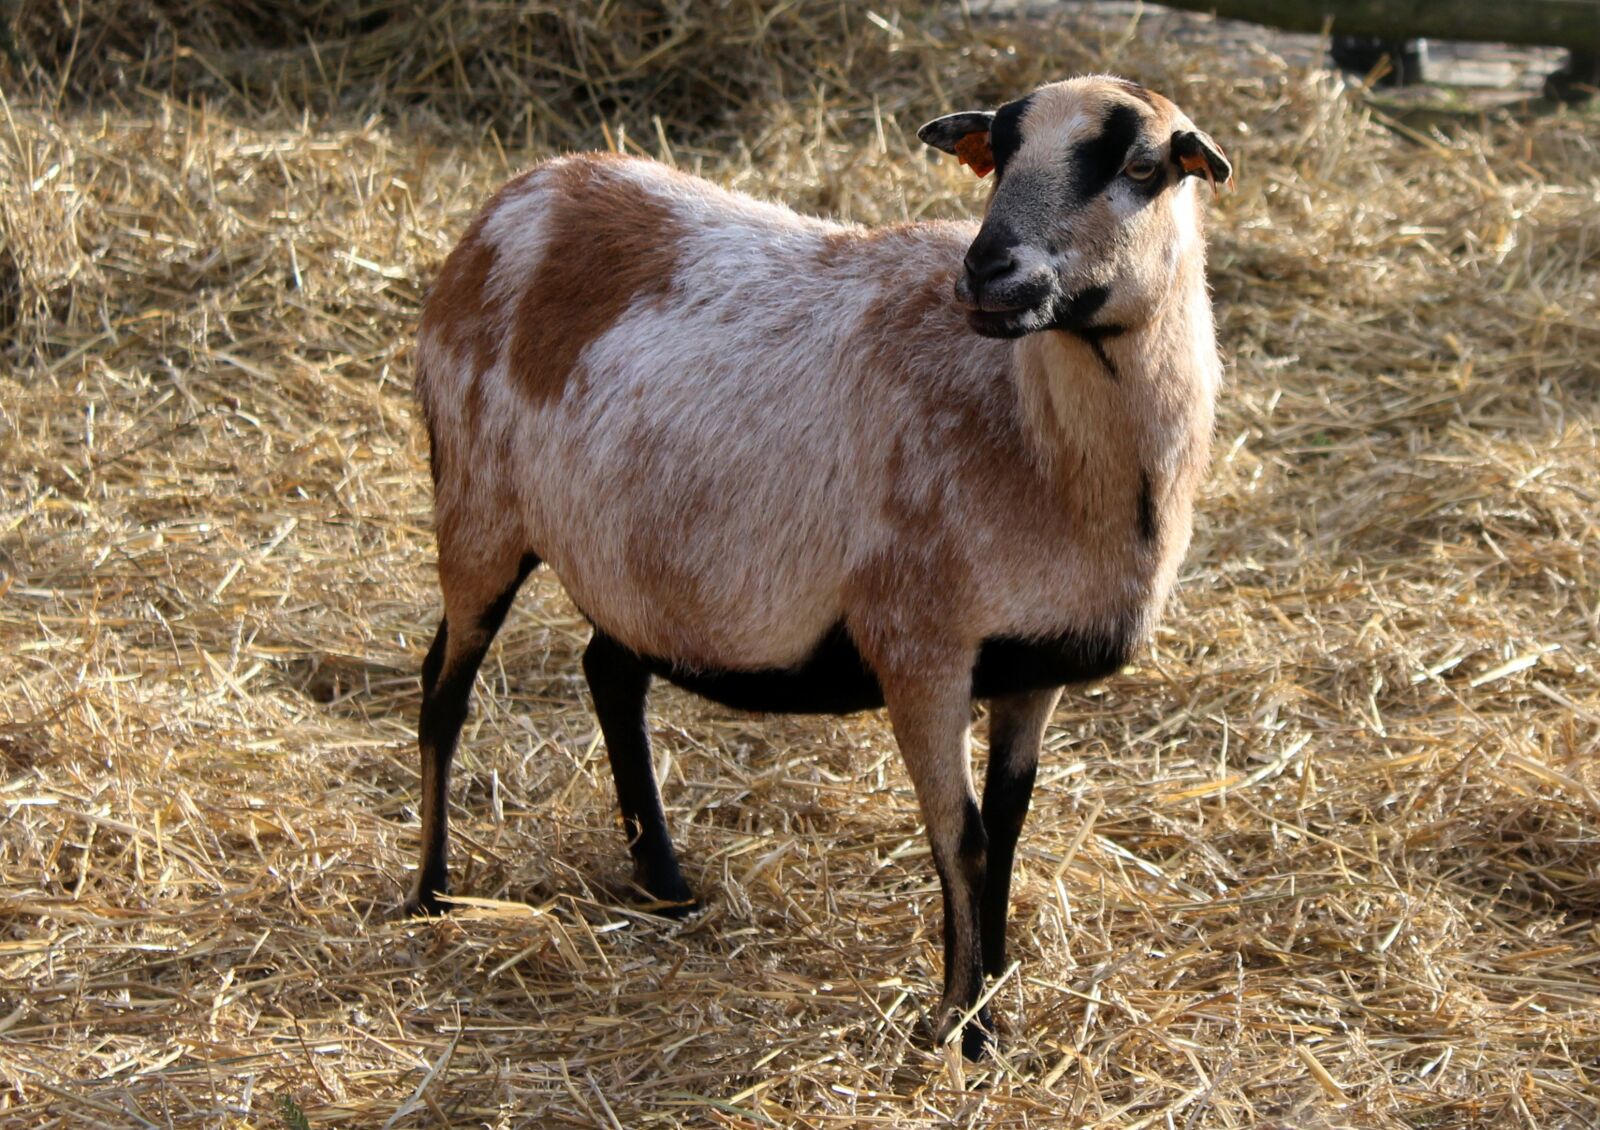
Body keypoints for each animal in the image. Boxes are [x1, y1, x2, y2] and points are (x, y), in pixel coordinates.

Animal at [407, 75, 1232, 1059]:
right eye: (996, 153)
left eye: (1142, 168)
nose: (987, 271)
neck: (1046, 439)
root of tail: (519, 194)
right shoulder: (919, 647)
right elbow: (963, 842)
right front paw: (960, 1030)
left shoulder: (1032, 667)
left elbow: (1009, 830)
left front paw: (996, 1001)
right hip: (477, 505)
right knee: (444, 688)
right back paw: (431, 893)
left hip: (632, 559)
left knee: (609, 672)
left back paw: (666, 885)